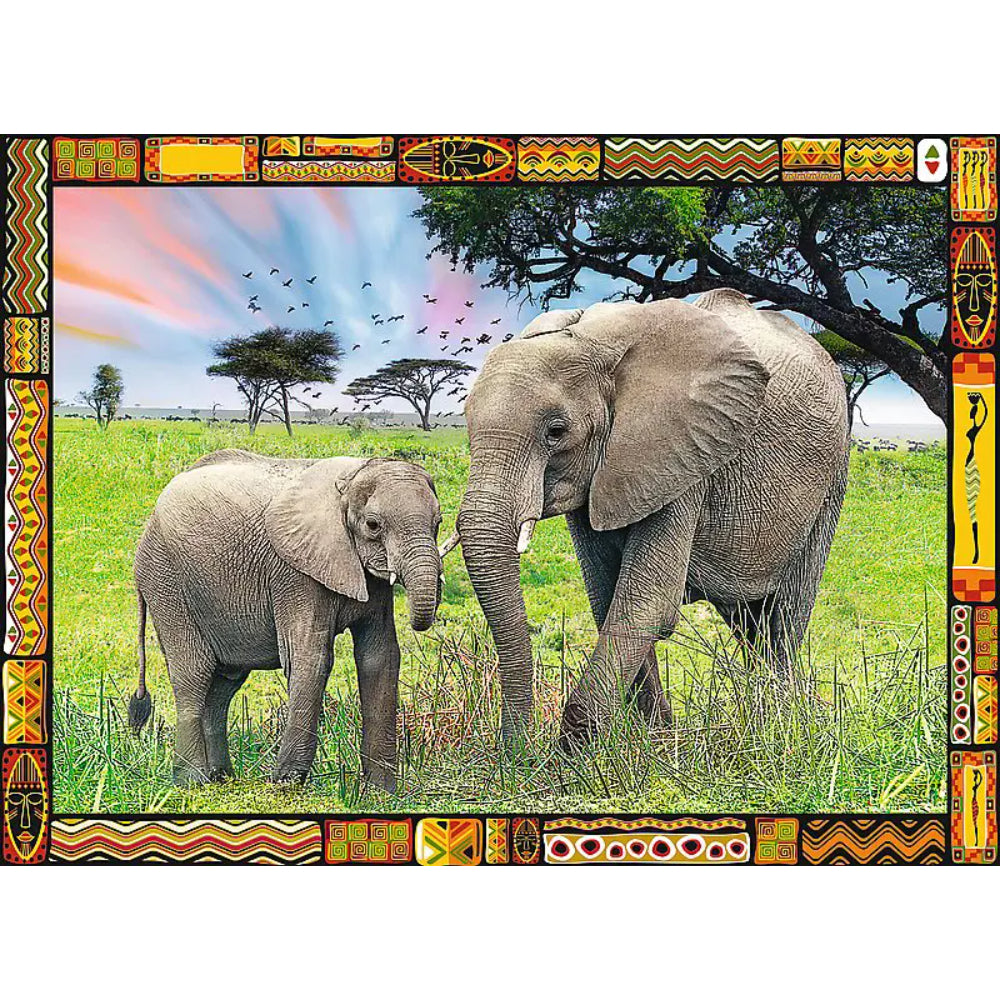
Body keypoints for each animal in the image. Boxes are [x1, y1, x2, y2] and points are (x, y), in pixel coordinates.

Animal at [128, 449, 445, 790]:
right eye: (373, 525)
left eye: (438, 522)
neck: (351, 479)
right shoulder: (294, 572)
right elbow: (311, 657)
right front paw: (287, 782)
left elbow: (380, 657)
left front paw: (380, 790)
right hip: (166, 581)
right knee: (194, 673)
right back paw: (193, 782)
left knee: (225, 683)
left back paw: (221, 777)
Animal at [450, 288, 849, 748]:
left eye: (556, 432)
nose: (518, 751)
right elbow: (607, 598)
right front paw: (654, 742)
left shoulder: (687, 454)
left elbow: (647, 603)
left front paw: (572, 754)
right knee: (749, 625)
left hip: (832, 478)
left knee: (783, 619)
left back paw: (777, 727)